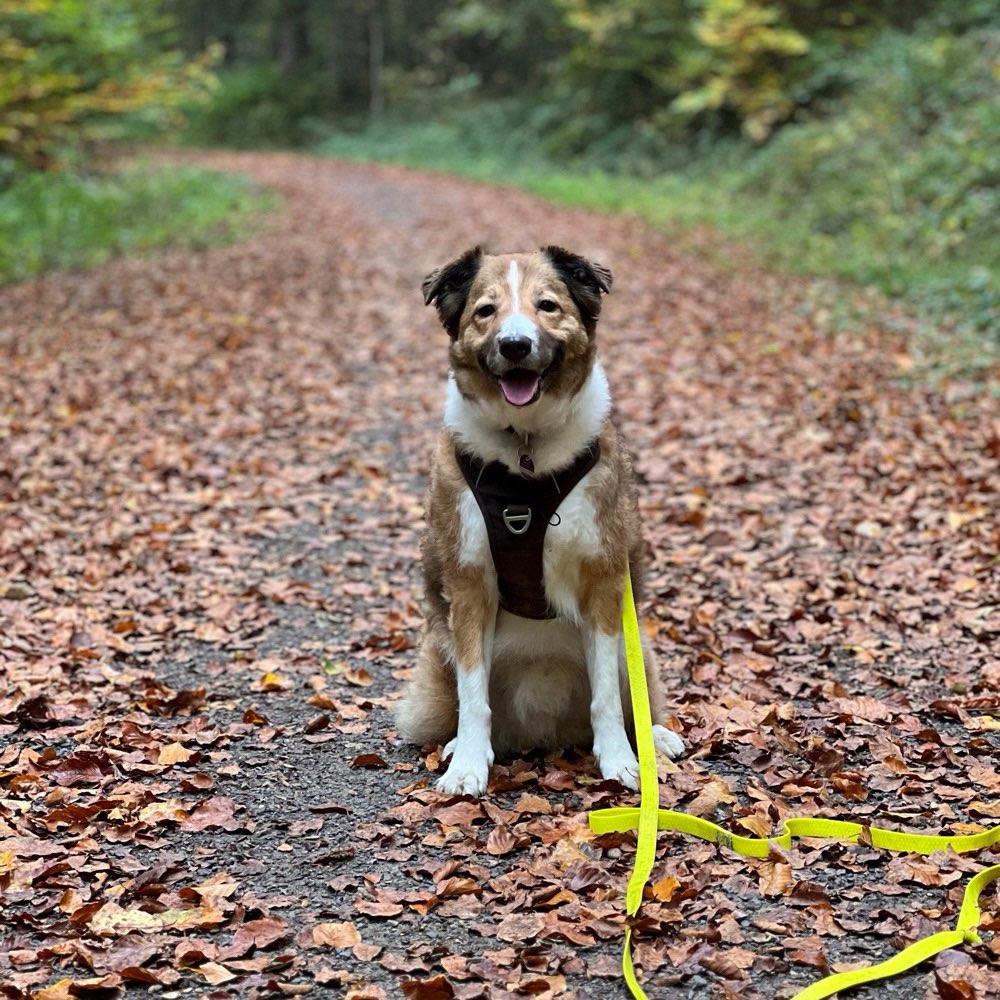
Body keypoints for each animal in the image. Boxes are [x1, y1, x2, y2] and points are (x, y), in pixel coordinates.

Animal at [394, 248, 684, 796]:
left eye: (547, 305)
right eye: (486, 311)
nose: (514, 345)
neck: (524, 452)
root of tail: (545, 732)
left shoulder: (604, 580)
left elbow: (607, 696)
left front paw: (619, 760)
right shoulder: (469, 584)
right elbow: (475, 695)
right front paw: (468, 765)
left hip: (635, 643)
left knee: (634, 697)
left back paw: (655, 736)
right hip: (439, 653)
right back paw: (458, 746)